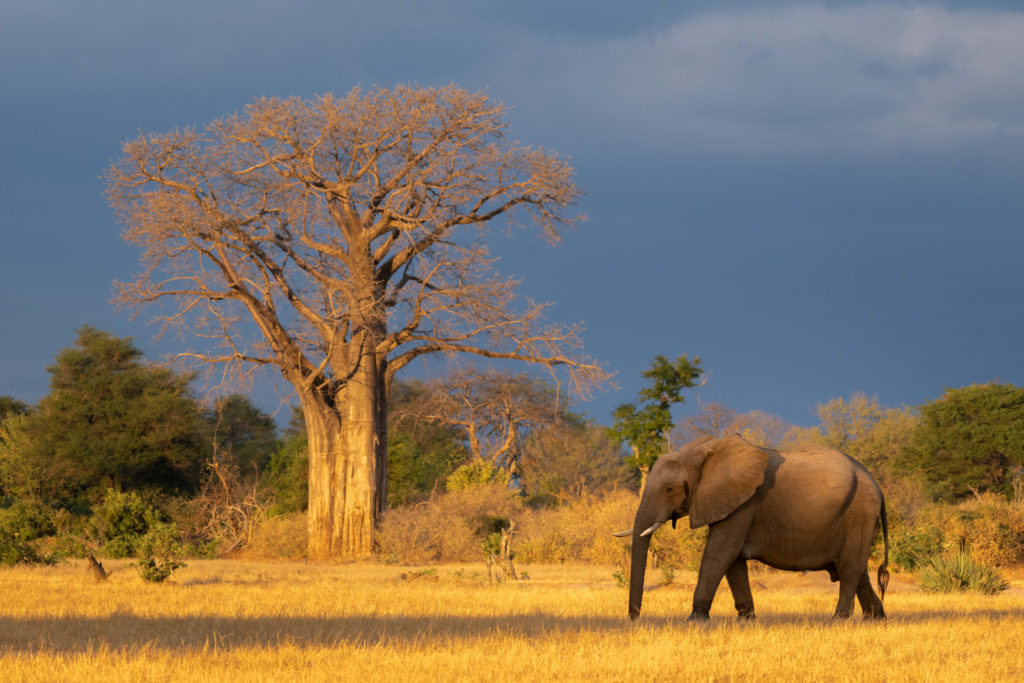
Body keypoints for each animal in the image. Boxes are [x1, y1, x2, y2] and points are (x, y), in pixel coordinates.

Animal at [616, 434, 890, 622]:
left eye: (669, 489)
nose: (635, 618)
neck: (702, 450)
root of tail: (878, 488)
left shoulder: (745, 504)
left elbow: (719, 552)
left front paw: (694, 621)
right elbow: (732, 560)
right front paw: (747, 620)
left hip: (859, 513)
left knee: (850, 568)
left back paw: (837, 621)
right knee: (856, 570)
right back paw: (875, 618)